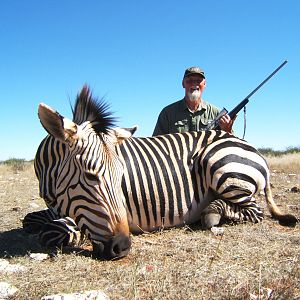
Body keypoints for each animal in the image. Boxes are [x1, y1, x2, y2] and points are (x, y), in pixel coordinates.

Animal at [23, 85, 298, 258]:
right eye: (90, 176)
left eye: (121, 178)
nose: (122, 247)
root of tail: (249, 145)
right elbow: (30, 219)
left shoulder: (77, 214)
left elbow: (53, 232)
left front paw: (77, 236)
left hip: (220, 165)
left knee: (253, 211)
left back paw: (211, 213)